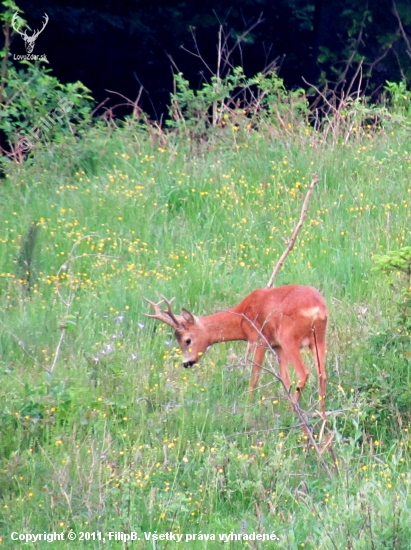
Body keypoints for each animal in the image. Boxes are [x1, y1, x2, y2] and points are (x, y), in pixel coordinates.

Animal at [145, 288, 328, 418]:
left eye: (187, 340)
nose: (186, 363)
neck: (241, 316)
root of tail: (318, 310)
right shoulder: (277, 347)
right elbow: (285, 379)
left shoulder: (259, 340)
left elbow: (254, 377)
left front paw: (247, 409)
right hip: (317, 340)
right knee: (322, 375)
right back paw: (322, 416)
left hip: (289, 337)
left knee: (304, 372)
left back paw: (294, 412)